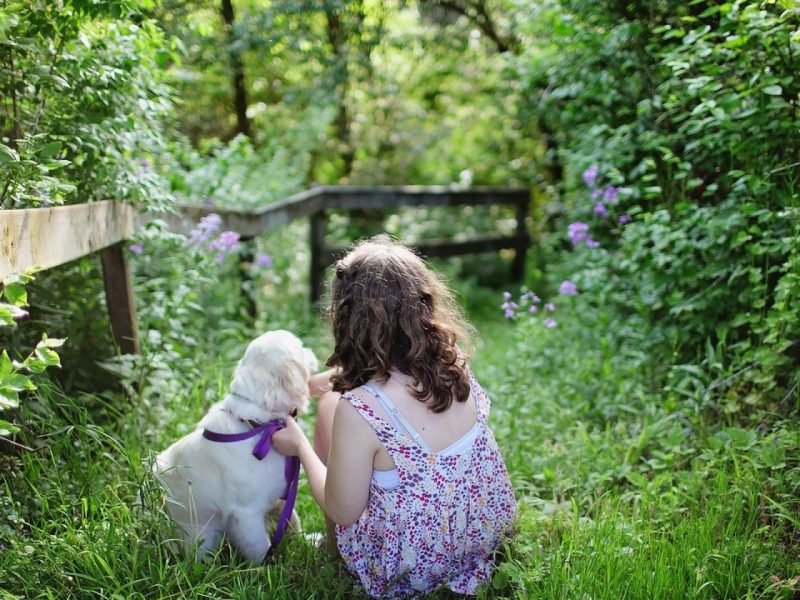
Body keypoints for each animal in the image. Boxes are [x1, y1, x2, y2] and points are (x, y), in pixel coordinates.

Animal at [153, 330, 318, 560]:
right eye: (301, 348)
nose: (312, 351)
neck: (258, 425)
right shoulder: (246, 514)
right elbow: (260, 547)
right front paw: (268, 566)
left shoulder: (280, 495)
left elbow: (292, 520)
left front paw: (308, 541)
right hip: (202, 537)